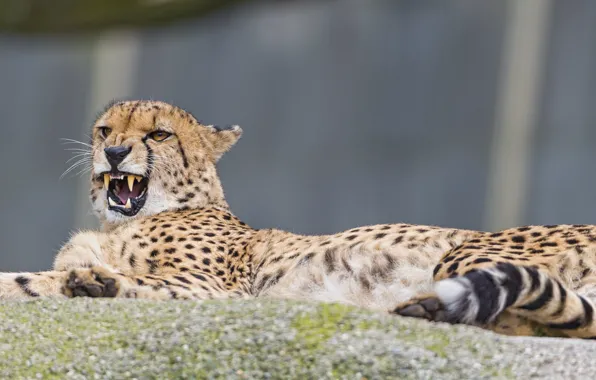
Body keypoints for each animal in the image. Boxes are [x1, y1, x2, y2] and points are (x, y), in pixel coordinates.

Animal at [2, 100, 592, 338]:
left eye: (159, 134)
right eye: (106, 130)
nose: (115, 152)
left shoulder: (215, 289)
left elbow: (40, 279)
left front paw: (83, 282)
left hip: (465, 253)